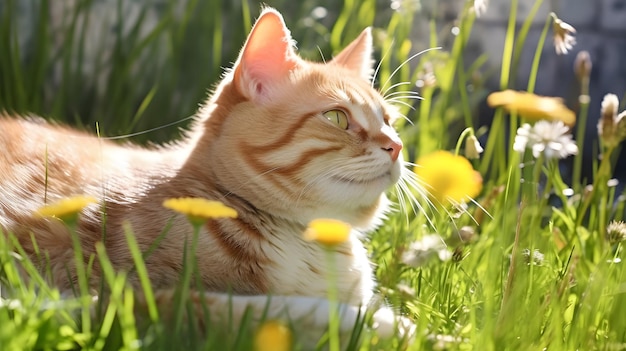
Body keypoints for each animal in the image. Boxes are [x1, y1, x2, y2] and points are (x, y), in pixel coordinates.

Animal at [1, 6, 414, 348]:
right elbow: (255, 310)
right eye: (337, 118)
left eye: (388, 121)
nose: (397, 146)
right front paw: (384, 325)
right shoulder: (130, 296)